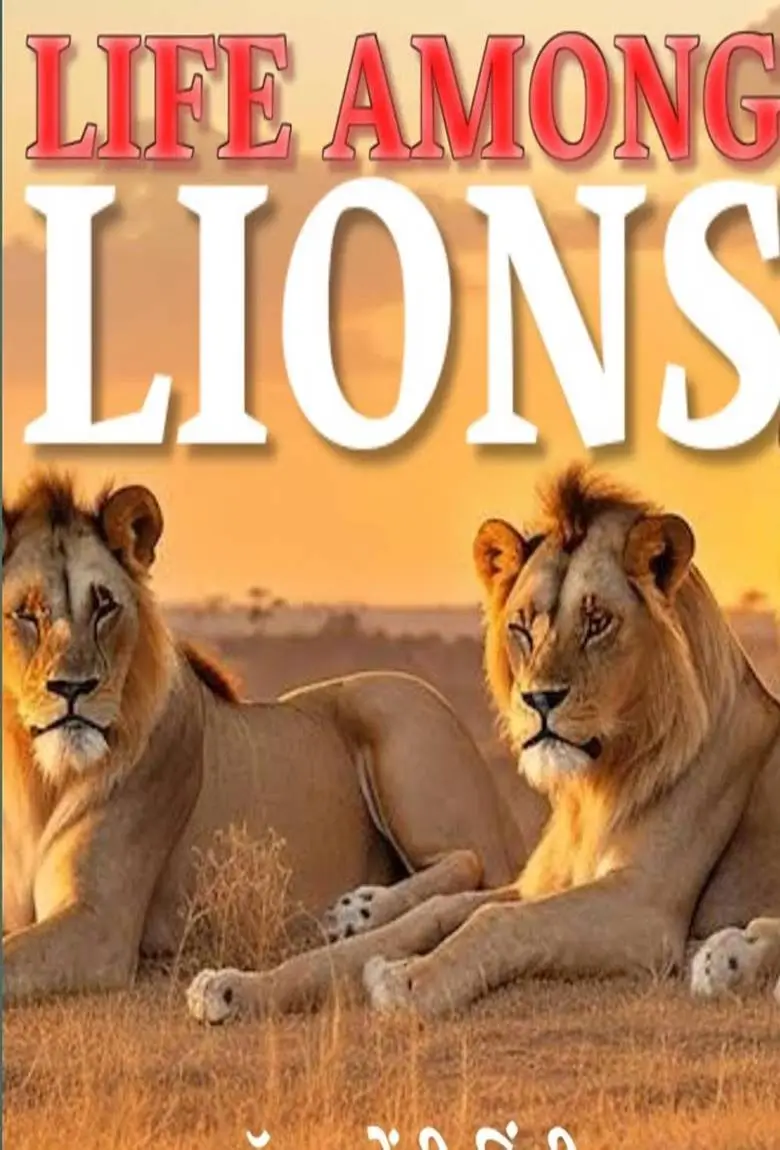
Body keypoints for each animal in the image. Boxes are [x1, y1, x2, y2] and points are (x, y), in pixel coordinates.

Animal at [2, 471, 546, 1004]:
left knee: (472, 859)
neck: (33, 773)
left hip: (397, 704)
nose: (72, 688)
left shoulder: (101, 924)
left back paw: (360, 910)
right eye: (25, 613)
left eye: (104, 607)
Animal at [185, 463, 780, 1024]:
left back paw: (728, 959)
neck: (591, 787)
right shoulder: (542, 884)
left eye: (597, 622)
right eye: (522, 625)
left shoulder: (643, 907)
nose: (539, 698)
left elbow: (495, 922)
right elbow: (436, 915)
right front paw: (235, 987)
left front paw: (407, 981)